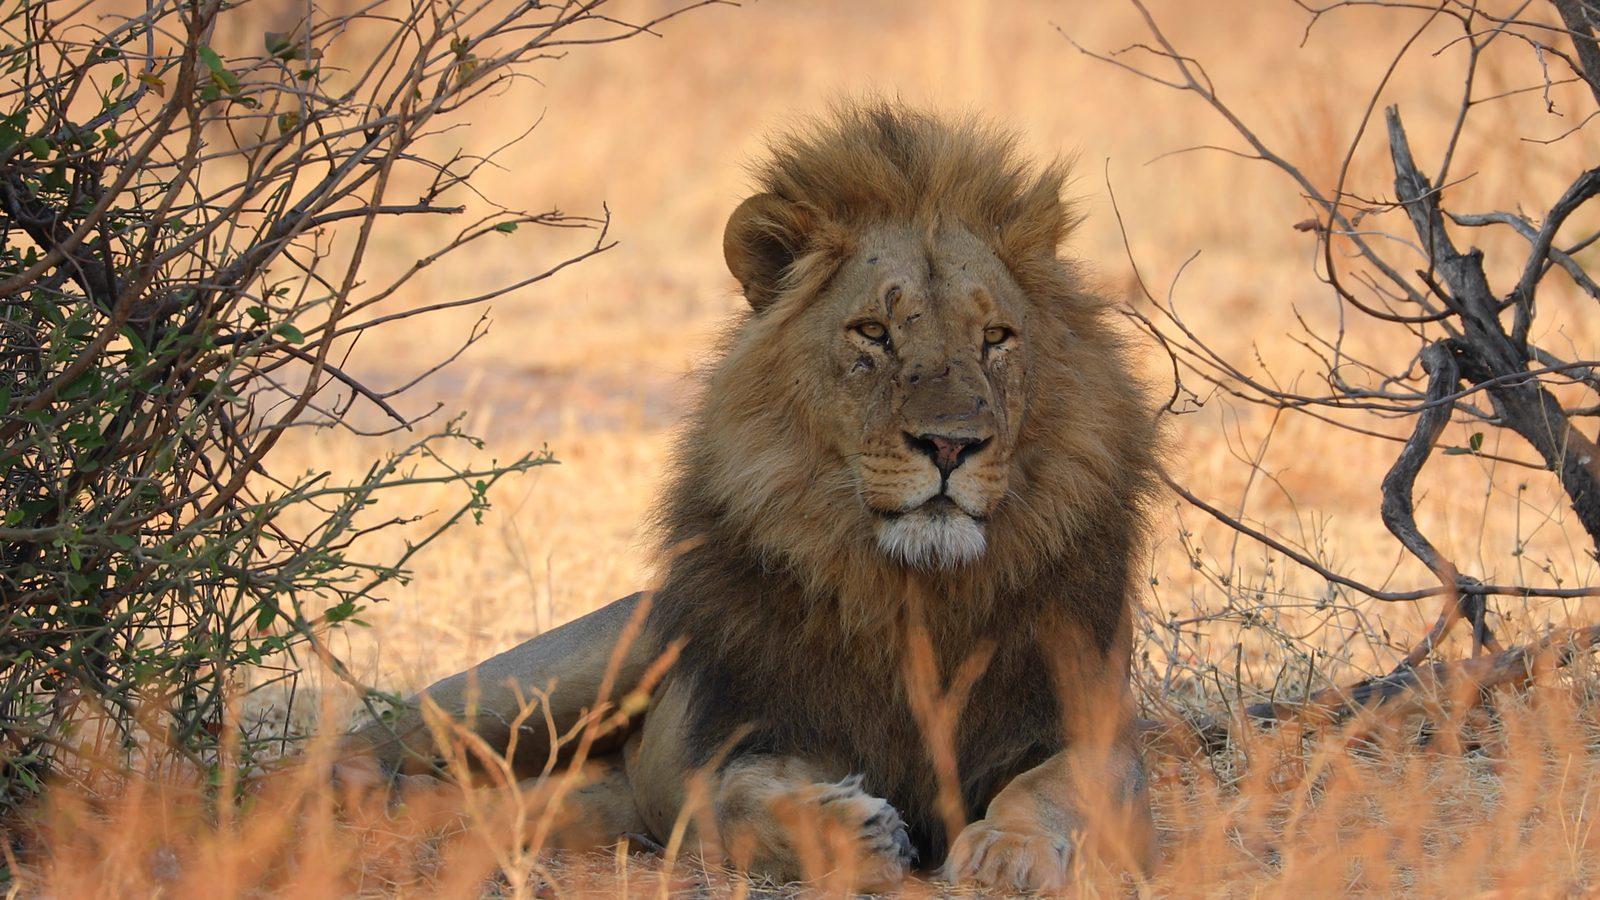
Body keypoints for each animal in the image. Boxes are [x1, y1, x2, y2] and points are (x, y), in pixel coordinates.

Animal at [340, 103, 1162, 892]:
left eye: (996, 337)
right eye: (873, 332)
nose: (951, 445)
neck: (914, 593)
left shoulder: (1089, 722)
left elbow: (1057, 788)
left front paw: (1010, 850)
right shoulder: (752, 734)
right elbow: (742, 800)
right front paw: (854, 832)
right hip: (545, 678)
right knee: (369, 733)